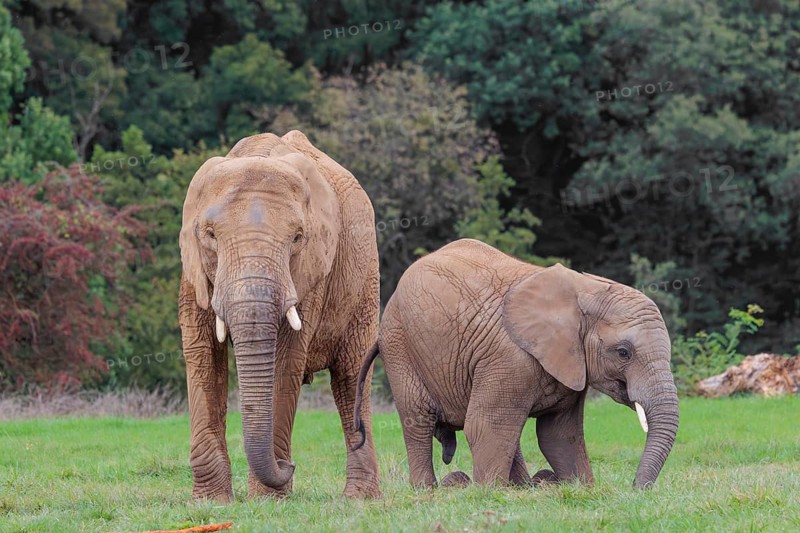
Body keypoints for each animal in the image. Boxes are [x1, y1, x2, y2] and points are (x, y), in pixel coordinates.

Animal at [179, 130, 381, 501]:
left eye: (298, 237)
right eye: (210, 235)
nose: (290, 465)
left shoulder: (312, 272)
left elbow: (285, 360)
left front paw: (266, 500)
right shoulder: (192, 272)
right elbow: (203, 356)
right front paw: (212, 502)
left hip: (366, 279)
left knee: (351, 376)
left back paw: (360, 499)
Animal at [354, 239, 678, 489]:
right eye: (623, 352)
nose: (636, 489)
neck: (585, 291)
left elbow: (559, 435)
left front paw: (582, 488)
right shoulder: (509, 357)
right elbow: (485, 425)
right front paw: (488, 492)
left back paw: (524, 485)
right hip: (400, 345)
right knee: (418, 420)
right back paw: (428, 491)